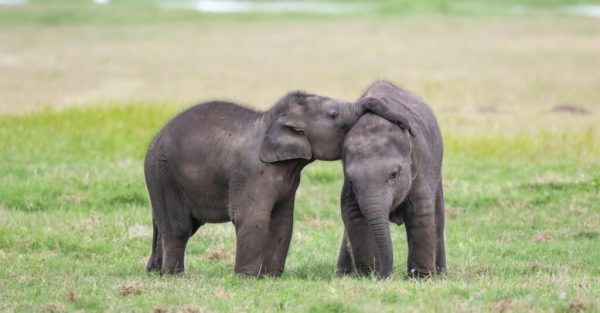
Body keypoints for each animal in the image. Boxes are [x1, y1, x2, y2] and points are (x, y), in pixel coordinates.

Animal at [145, 89, 390, 276]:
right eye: (333, 114)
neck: (270, 120)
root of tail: (154, 139)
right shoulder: (251, 172)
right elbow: (252, 219)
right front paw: (246, 279)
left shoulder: (289, 179)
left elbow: (283, 222)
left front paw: (270, 277)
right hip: (163, 175)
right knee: (178, 228)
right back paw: (174, 276)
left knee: (166, 224)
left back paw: (155, 272)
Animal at [338, 80, 446, 278]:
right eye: (352, 181)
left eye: (394, 174)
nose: (382, 276)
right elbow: (352, 212)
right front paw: (368, 274)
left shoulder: (420, 167)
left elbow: (421, 212)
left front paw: (421, 278)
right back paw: (344, 274)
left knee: (438, 218)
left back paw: (442, 274)